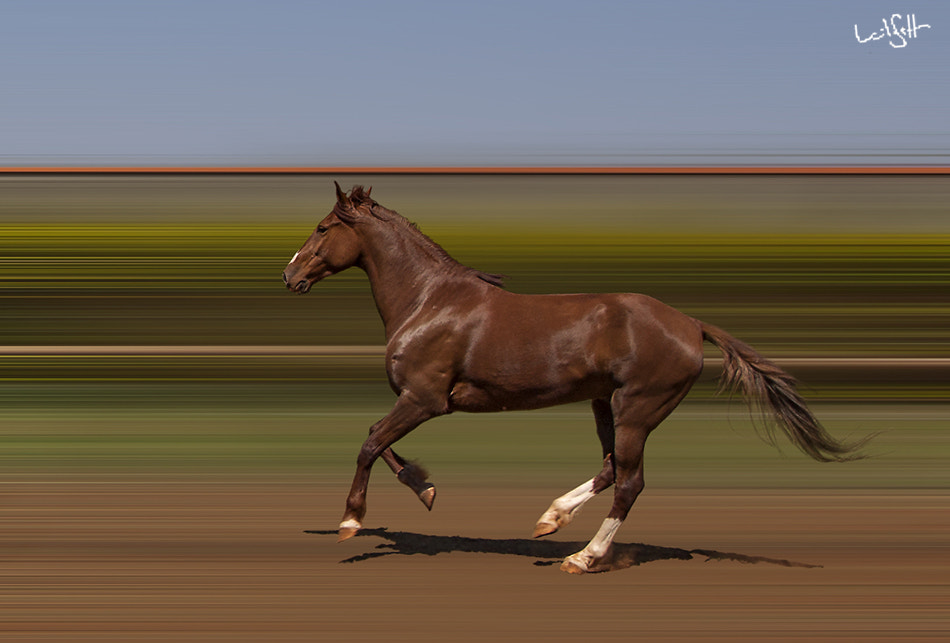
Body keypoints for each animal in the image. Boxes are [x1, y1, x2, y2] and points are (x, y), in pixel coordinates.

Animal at [282, 183, 866, 574]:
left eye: (322, 228)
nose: (289, 275)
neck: (429, 302)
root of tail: (691, 324)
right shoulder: (418, 400)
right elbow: (382, 445)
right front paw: (425, 488)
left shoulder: (424, 399)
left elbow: (369, 442)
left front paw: (351, 522)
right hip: (605, 404)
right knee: (610, 470)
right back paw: (552, 520)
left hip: (638, 409)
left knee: (629, 482)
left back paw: (583, 557)